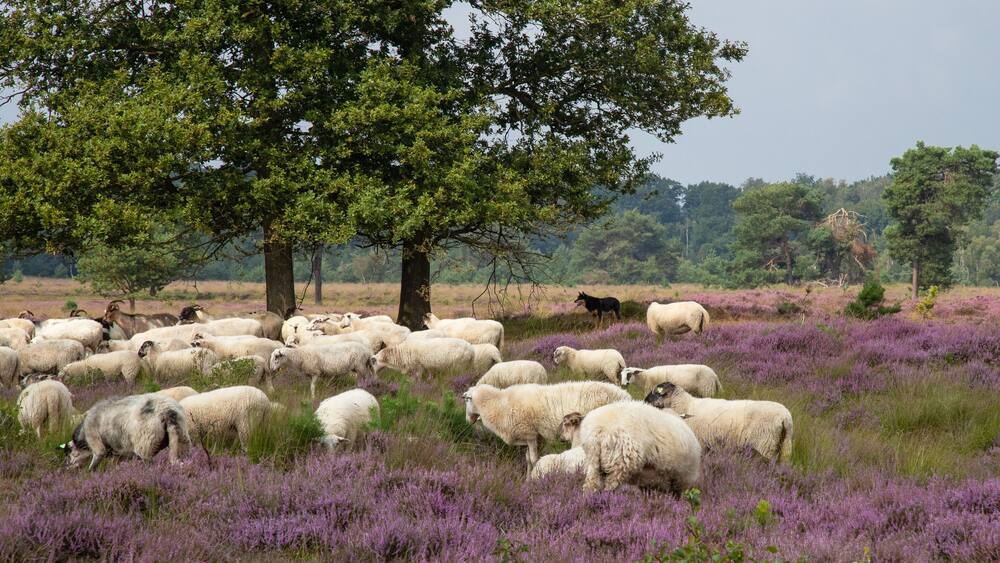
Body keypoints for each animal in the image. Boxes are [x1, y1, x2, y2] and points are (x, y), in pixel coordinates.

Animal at [63, 393, 191, 470]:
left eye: (69, 453)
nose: (67, 466)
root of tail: (167, 410)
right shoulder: (120, 453)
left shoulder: (96, 444)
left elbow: (95, 462)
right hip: (182, 438)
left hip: (145, 445)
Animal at [462, 381, 631, 470]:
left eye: (467, 399)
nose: (468, 420)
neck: (501, 405)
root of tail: (625, 395)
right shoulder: (534, 437)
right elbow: (527, 459)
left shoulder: (530, 434)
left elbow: (533, 459)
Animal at [559, 402, 701, 494]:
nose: (561, 438)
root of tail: (599, 430)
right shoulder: (682, 479)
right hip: (620, 464)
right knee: (610, 489)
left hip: (593, 462)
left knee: (590, 485)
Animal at [644, 382, 793, 462]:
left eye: (656, 393)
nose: (644, 401)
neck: (685, 405)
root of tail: (785, 417)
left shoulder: (700, 442)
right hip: (784, 445)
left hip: (765, 444)